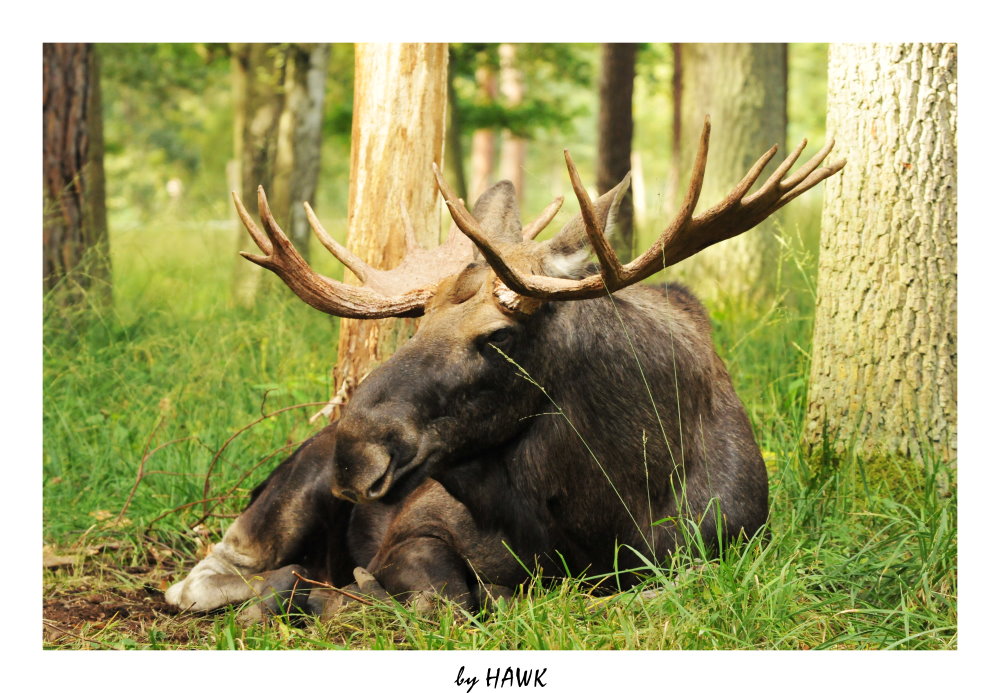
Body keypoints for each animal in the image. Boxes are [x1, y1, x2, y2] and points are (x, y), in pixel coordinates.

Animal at [166, 119, 844, 616]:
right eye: (419, 320)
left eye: (498, 337)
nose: (356, 454)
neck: (606, 513)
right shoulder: (415, 532)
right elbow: (445, 598)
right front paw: (353, 594)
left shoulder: (726, 547)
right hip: (289, 489)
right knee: (211, 572)